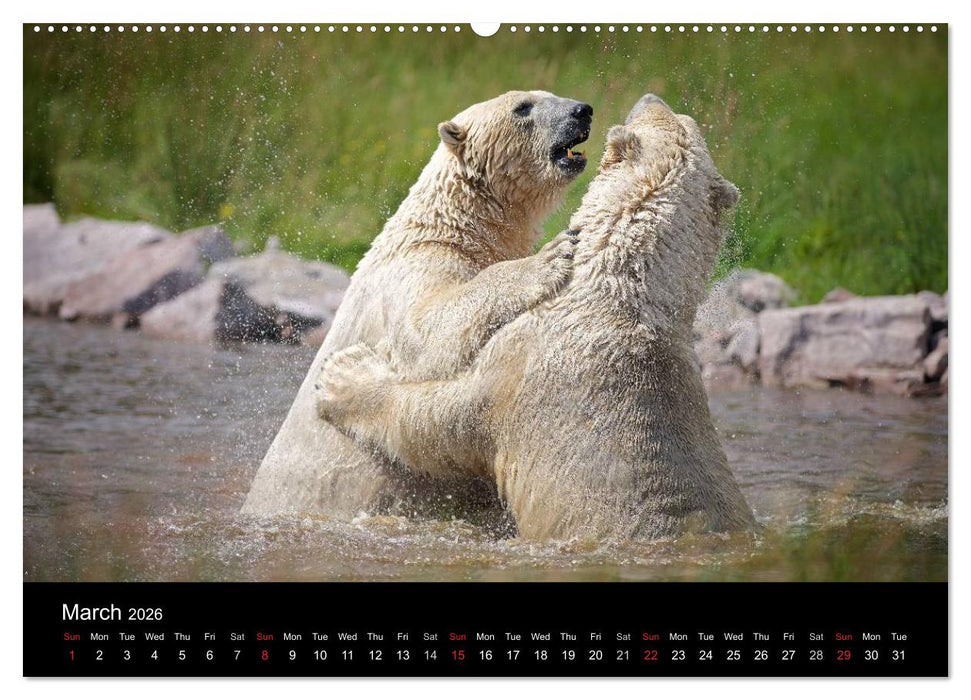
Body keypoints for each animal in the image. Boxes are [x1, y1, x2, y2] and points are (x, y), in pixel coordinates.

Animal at [241, 90, 594, 520]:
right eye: (522, 107)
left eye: (549, 95)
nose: (582, 110)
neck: (456, 223)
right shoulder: (414, 269)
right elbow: (426, 332)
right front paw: (551, 256)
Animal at [313, 94, 756, 542]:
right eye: (683, 119)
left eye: (665, 114)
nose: (649, 96)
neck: (625, 292)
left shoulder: (514, 370)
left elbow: (435, 421)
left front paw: (341, 376)